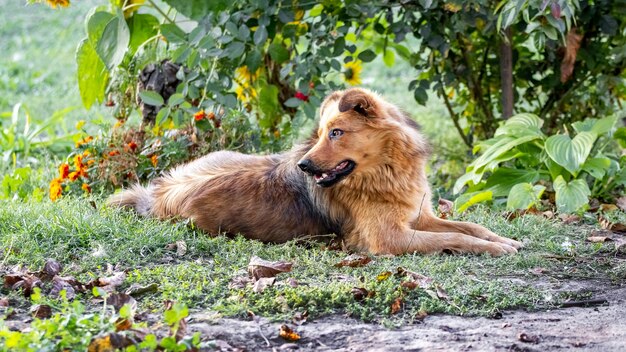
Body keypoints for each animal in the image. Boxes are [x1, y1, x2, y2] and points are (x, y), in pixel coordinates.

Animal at [108, 88, 520, 256]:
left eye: (336, 133)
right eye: (321, 134)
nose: (303, 165)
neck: (385, 173)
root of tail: (157, 193)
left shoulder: (417, 215)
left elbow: (468, 226)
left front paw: (503, 240)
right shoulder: (390, 238)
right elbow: (456, 238)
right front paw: (495, 249)